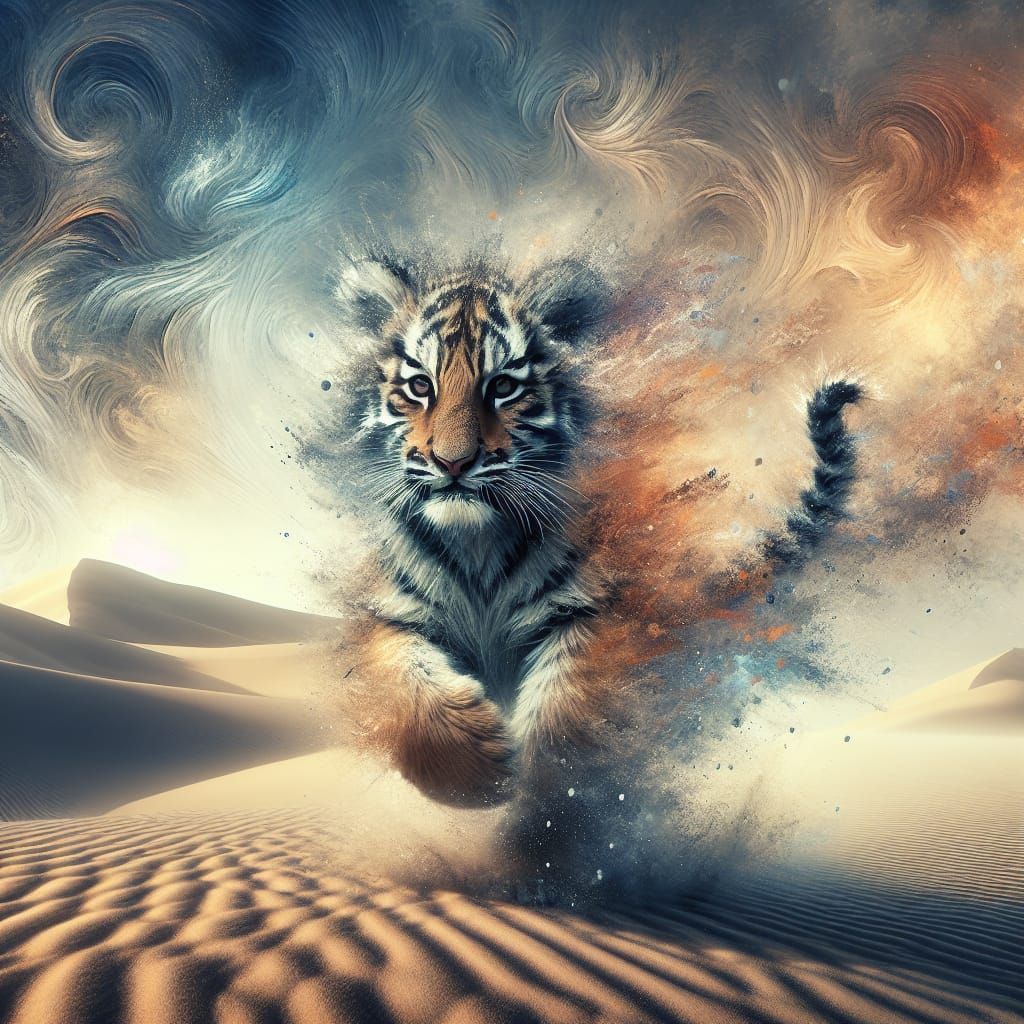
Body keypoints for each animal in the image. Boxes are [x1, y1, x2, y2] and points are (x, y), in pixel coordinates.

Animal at [331, 252, 862, 815]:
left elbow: (567, 710)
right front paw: (478, 774)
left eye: (503, 387)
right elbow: (402, 677)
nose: (452, 463)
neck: (476, 544)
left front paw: (556, 796)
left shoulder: (586, 610)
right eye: (419, 387)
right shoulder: (392, 614)